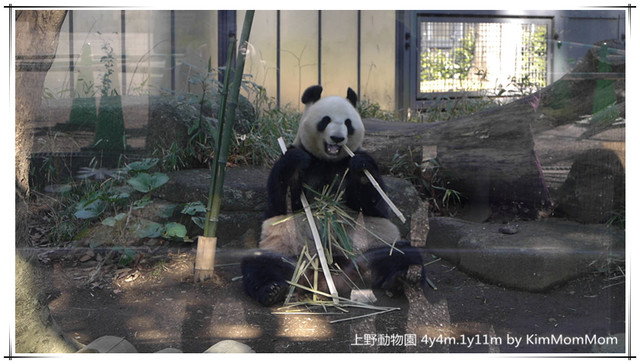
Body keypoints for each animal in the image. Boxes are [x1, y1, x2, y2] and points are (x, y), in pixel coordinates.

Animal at [239, 86, 420, 308]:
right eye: (325, 120)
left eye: (348, 123)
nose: (337, 139)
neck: (329, 160)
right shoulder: (302, 158)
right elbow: (279, 204)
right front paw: (295, 163)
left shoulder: (349, 164)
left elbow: (374, 205)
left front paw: (361, 167)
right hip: (286, 252)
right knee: (259, 262)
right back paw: (272, 290)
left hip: (372, 247)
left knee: (401, 253)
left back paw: (399, 279)